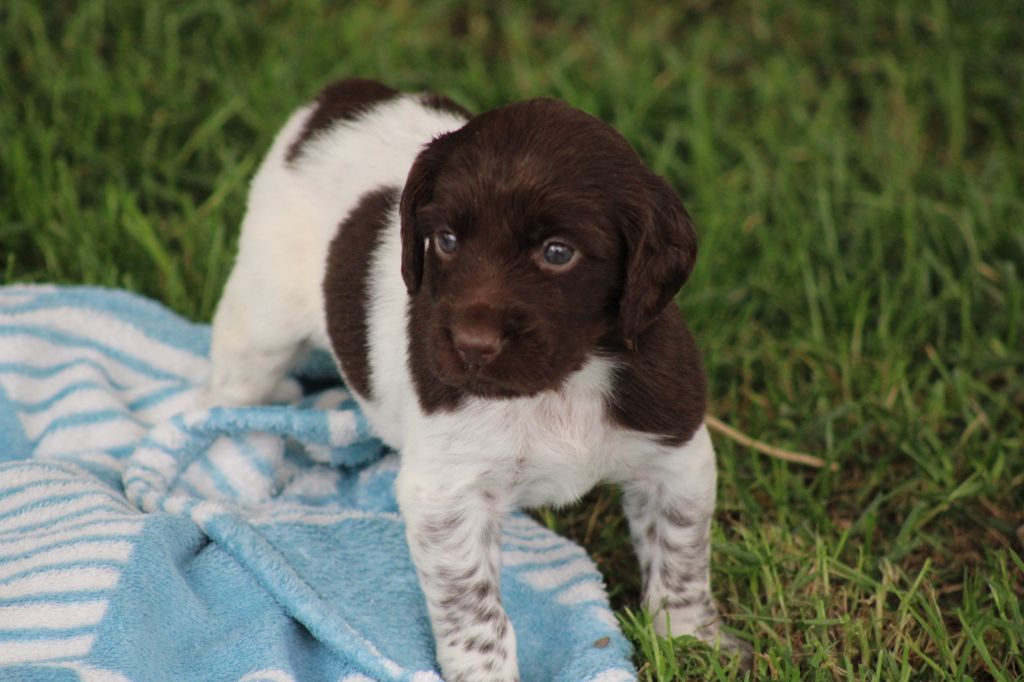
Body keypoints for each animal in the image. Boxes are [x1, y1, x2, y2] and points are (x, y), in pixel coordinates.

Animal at [205, 78, 748, 680]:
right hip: (261, 321)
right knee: (225, 391)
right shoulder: (448, 495)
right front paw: (484, 673)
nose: (470, 346)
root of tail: (345, 95)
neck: (562, 380)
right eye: (445, 240)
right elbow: (475, 609)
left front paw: (692, 642)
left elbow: (681, 560)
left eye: (557, 253)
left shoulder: (675, 458)